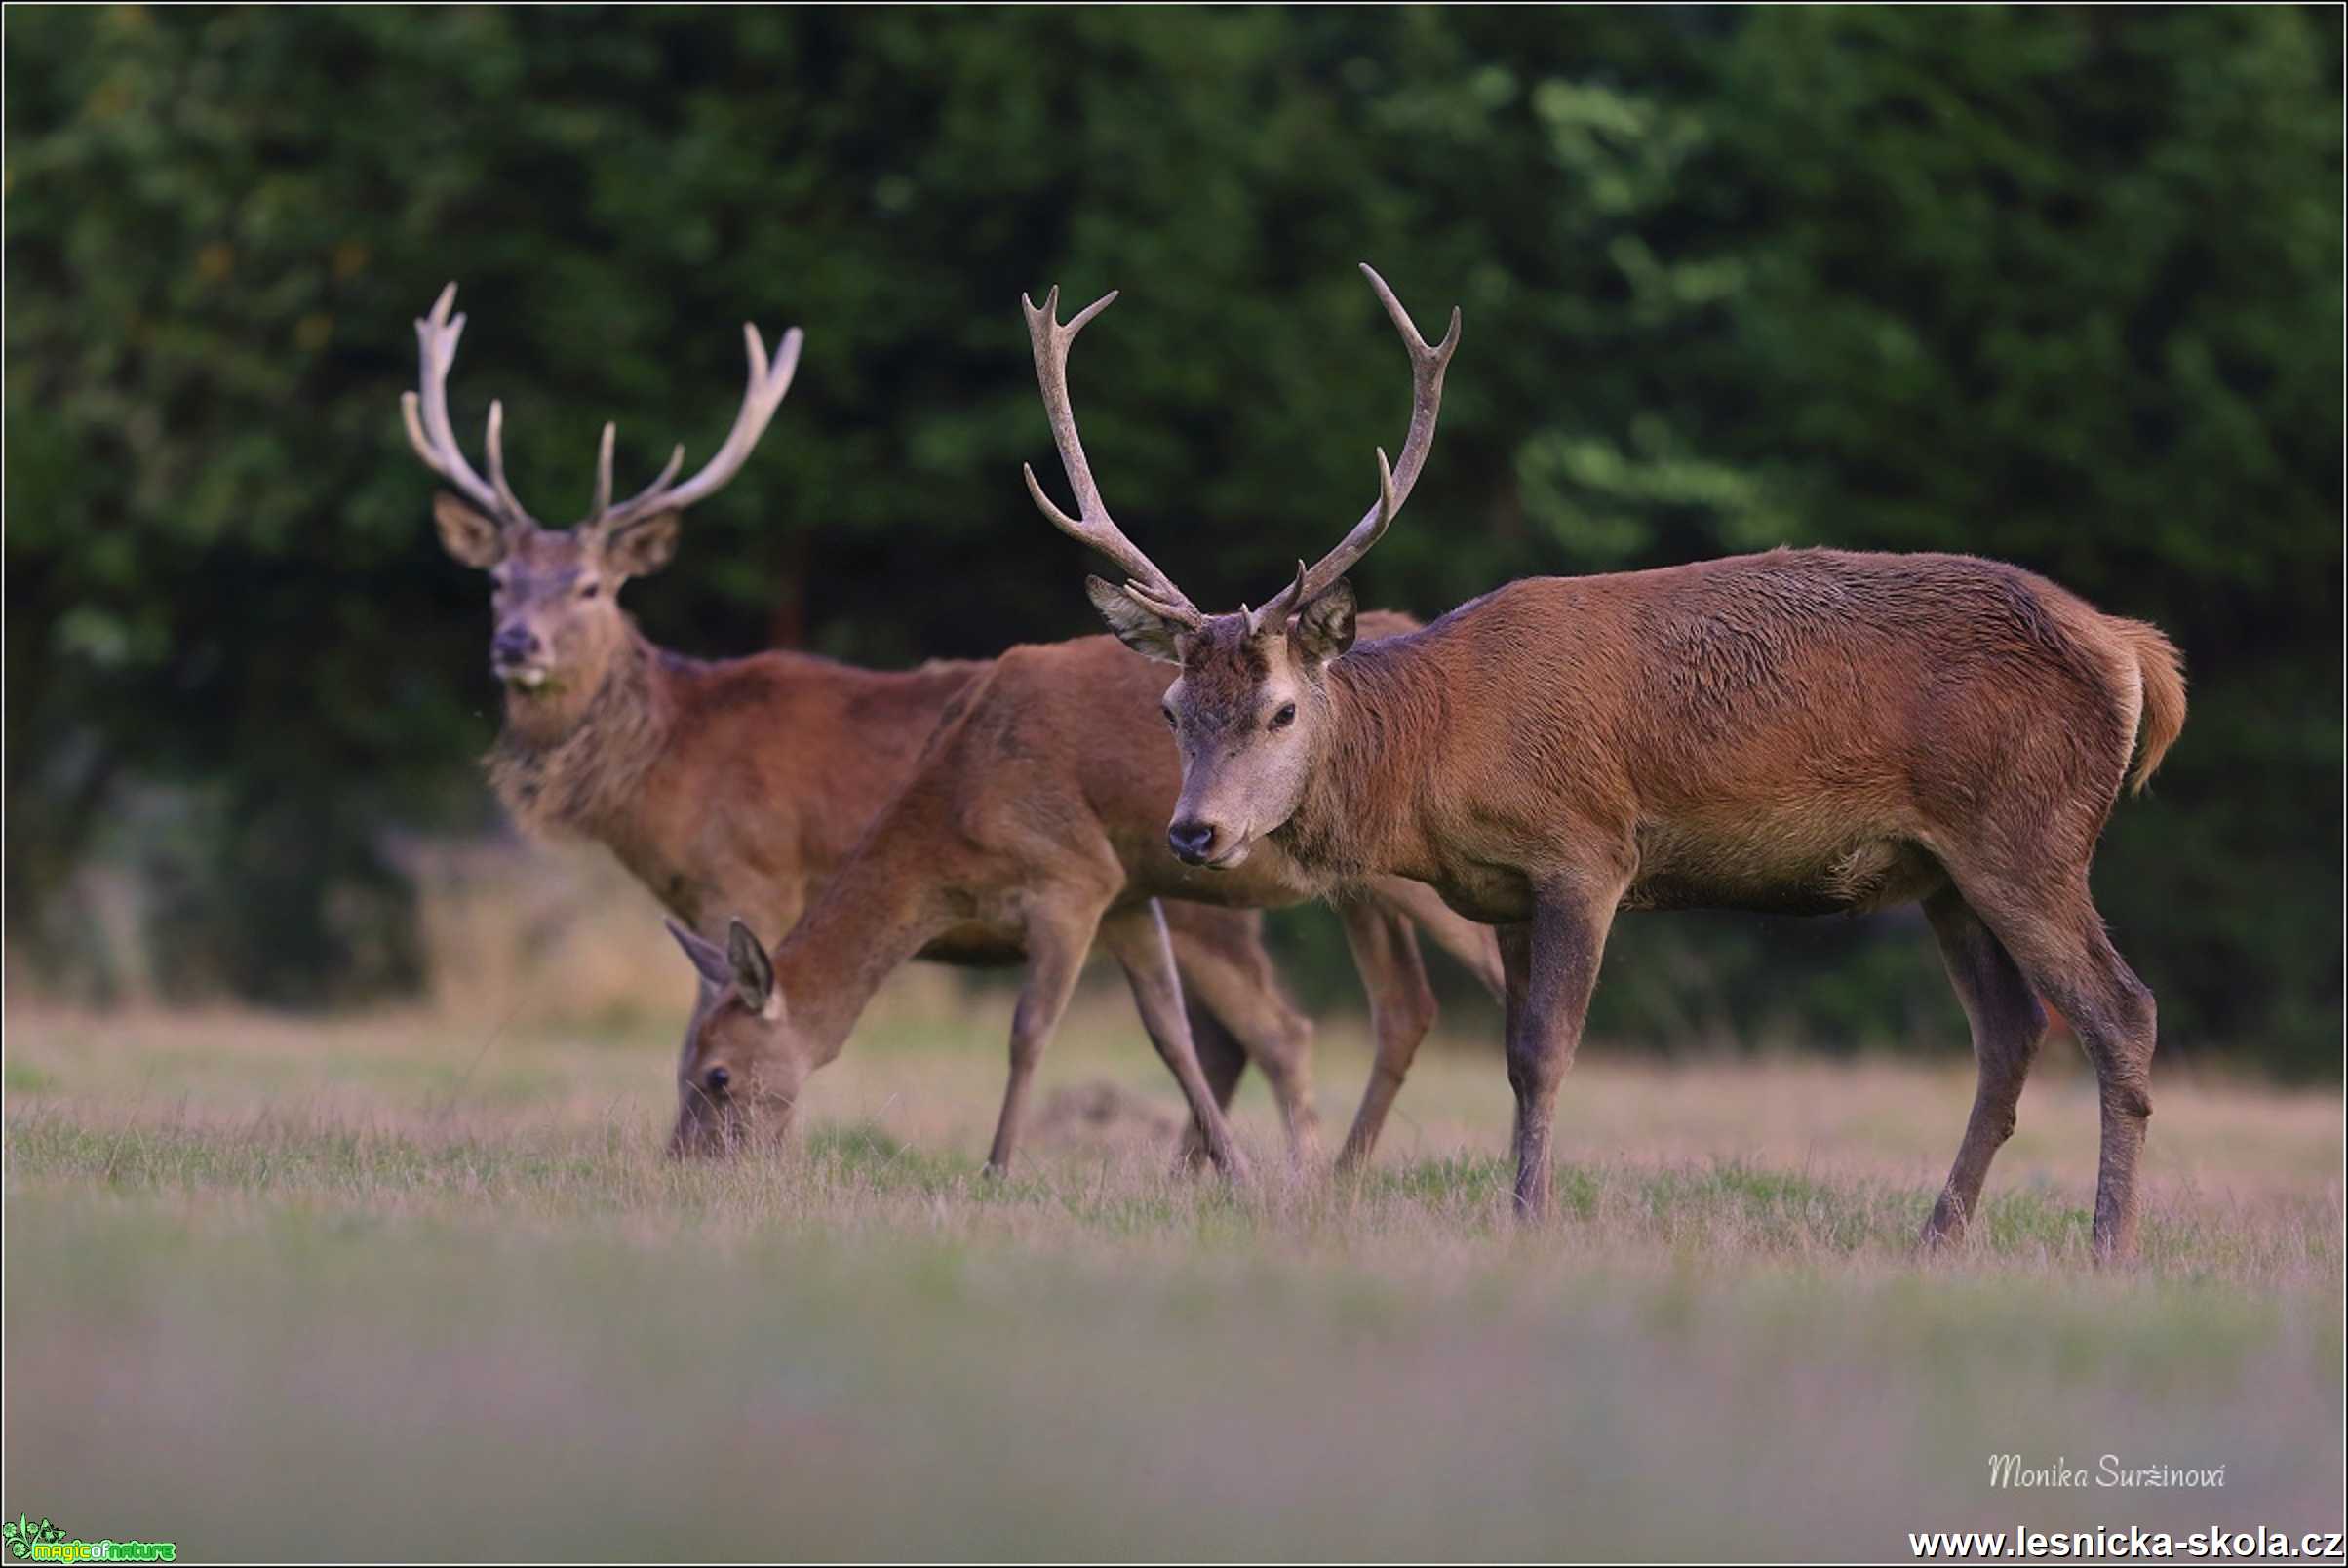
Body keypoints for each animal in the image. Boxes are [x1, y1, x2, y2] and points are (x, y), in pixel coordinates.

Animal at [404, 278, 1493, 1163]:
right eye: (498, 582)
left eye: (591, 587)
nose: (515, 646)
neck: (671, 758)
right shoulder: (1121, 894)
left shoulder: (752, 873)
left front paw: (993, 1170)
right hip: (1330, 892)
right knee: (1383, 1013)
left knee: (1310, 1023)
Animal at [1023, 260, 2178, 1258]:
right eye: (1172, 707)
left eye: (1278, 710)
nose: (1195, 830)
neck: (1441, 749)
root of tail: (2134, 654)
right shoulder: (1502, 888)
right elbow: (1509, 1056)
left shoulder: (1585, 851)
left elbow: (1545, 1053)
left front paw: (1529, 1218)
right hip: (1943, 869)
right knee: (2010, 1034)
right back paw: (1936, 1236)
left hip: (2026, 832)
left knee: (2120, 1010)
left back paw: (2107, 1247)